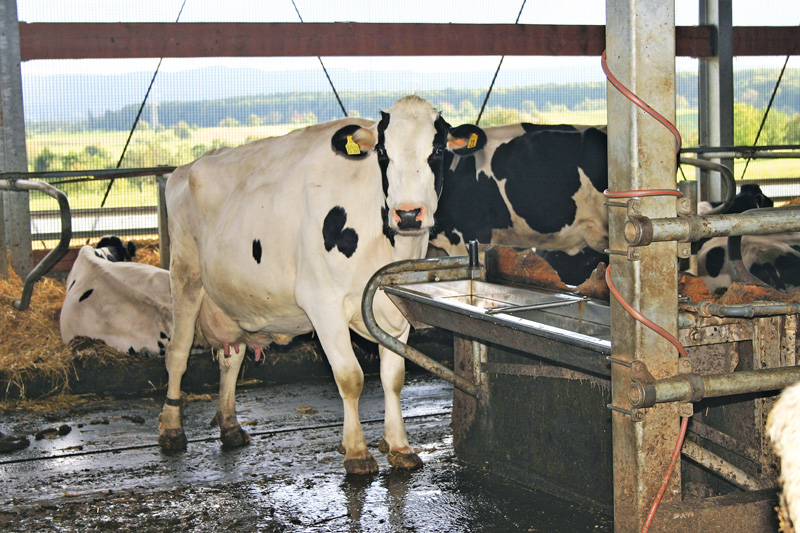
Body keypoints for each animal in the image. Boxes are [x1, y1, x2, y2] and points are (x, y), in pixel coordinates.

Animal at [155, 95, 482, 474]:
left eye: (439, 150)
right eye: (383, 152)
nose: (409, 214)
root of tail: (185, 168)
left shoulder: (392, 305)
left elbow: (394, 378)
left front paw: (400, 447)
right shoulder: (322, 303)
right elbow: (350, 378)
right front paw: (357, 453)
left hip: (233, 301)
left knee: (230, 360)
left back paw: (230, 425)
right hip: (185, 276)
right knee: (177, 354)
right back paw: (172, 429)